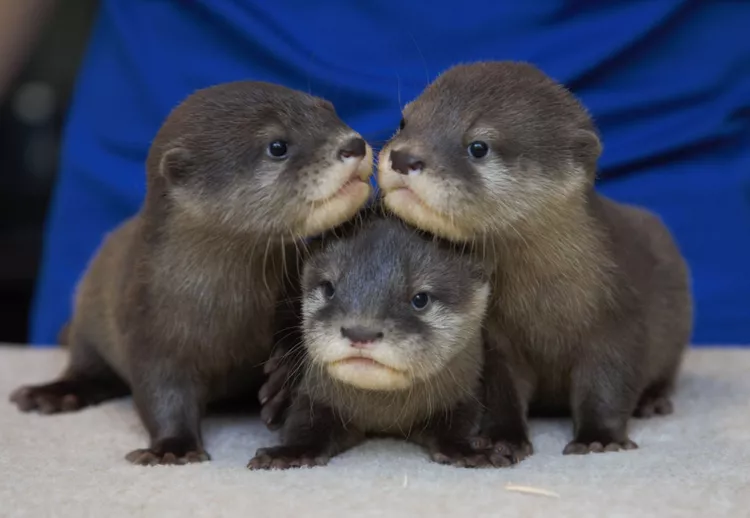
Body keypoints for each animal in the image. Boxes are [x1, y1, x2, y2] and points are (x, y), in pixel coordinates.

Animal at [10, 81, 374, 465]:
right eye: (277, 146)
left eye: (330, 111)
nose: (353, 144)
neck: (231, 310)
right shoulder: (147, 325)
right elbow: (160, 394)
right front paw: (172, 447)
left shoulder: (293, 285)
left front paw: (283, 377)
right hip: (88, 324)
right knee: (87, 368)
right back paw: (53, 394)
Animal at [248, 212, 518, 469]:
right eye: (329, 288)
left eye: (420, 299)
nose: (360, 332)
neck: (385, 414)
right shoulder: (315, 393)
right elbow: (306, 423)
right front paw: (289, 454)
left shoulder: (464, 392)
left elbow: (457, 425)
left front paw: (468, 451)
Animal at [376, 61, 693, 456]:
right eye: (404, 121)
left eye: (478, 146)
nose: (403, 157)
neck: (544, 304)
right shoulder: (495, 341)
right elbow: (501, 392)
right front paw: (503, 438)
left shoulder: (618, 318)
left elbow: (607, 385)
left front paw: (599, 439)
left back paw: (653, 401)